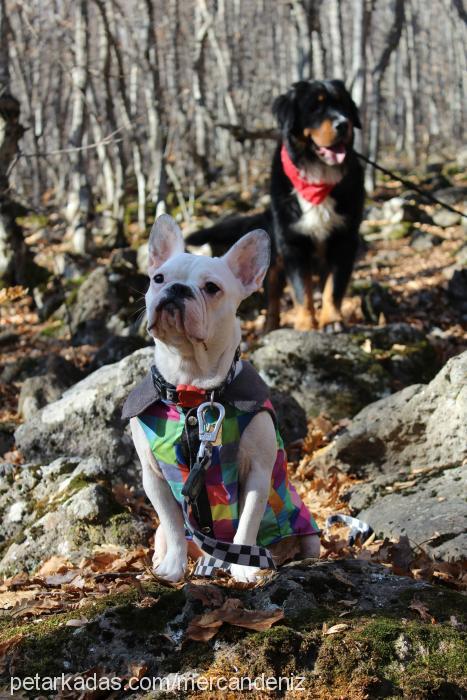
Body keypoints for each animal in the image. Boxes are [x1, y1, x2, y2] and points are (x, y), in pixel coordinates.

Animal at [186, 80, 366, 332]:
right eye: (315, 107)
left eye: (343, 105)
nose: (343, 124)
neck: (317, 175)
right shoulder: (292, 243)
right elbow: (301, 290)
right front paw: (305, 324)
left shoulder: (344, 240)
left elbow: (333, 287)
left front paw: (331, 320)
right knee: (272, 296)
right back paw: (270, 325)